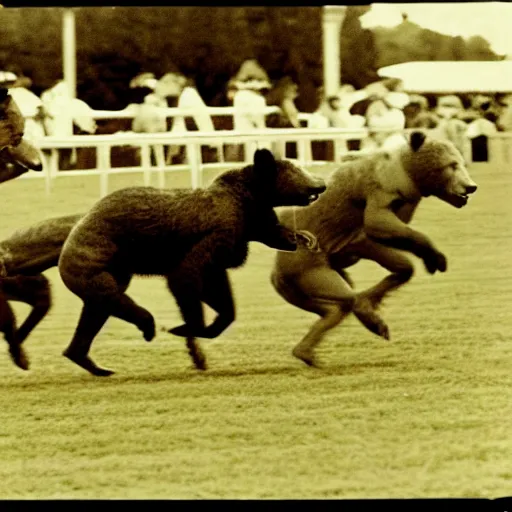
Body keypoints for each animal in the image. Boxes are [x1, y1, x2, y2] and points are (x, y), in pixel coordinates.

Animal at [58, 148, 326, 376]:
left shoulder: (227, 251)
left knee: (95, 311)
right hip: (95, 261)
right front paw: (184, 329)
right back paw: (147, 327)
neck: (247, 206)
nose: (321, 183)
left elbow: (223, 301)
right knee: (109, 297)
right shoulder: (215, 237)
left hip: (109, 267)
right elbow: (185, 277)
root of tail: (72, 234)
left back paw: (90, 361)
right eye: (297, 169)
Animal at [270, 130, 478, 366]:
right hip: (307, 269)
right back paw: (369, 318)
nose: (470, 186)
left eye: (460, 162)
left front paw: (426, 259)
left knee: (334, 308)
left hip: (297, 288)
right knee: (346, 297)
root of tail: (276, 273)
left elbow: (401, 262)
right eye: (451, 165)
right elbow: (376, 224)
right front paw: (435, 257)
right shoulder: (379, 193)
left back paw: (307, 351)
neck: (406, 172)